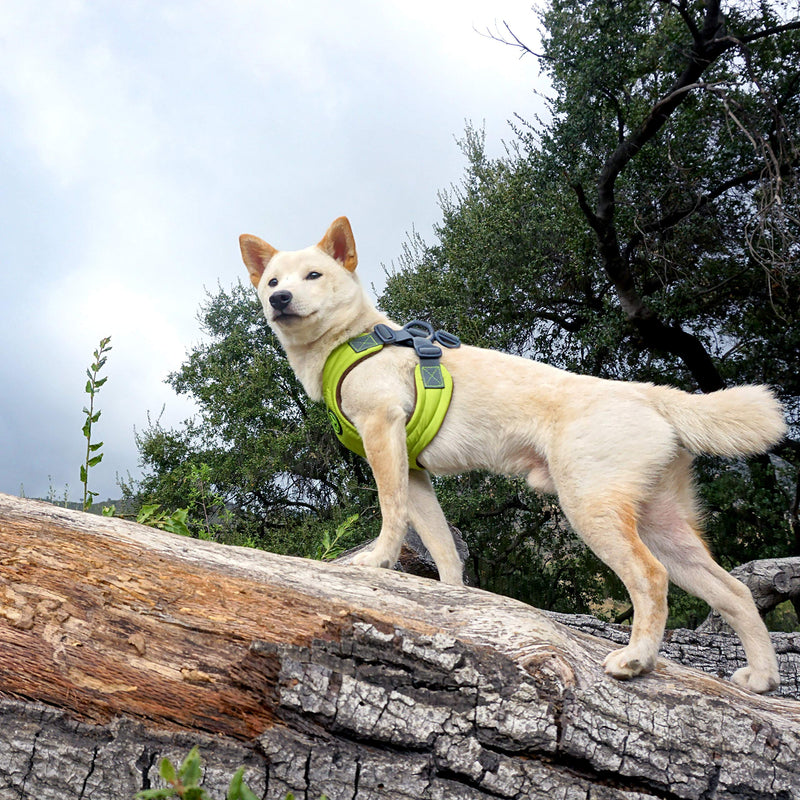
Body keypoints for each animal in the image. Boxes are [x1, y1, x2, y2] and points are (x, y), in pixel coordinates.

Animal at [239, 216, 788, 692]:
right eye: (272, 281)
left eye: (314, 275)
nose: (281, 298)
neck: (352, 341)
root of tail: (649, 394)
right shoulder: (416, 473)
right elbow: (443, 550)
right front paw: (449, 599)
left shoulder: (383, 435)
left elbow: (389, 512)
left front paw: (376, 561)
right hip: (666, 529)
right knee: (737, 593)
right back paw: (762, 677)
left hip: (593, 510)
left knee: (651, 579)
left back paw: (636, 659)